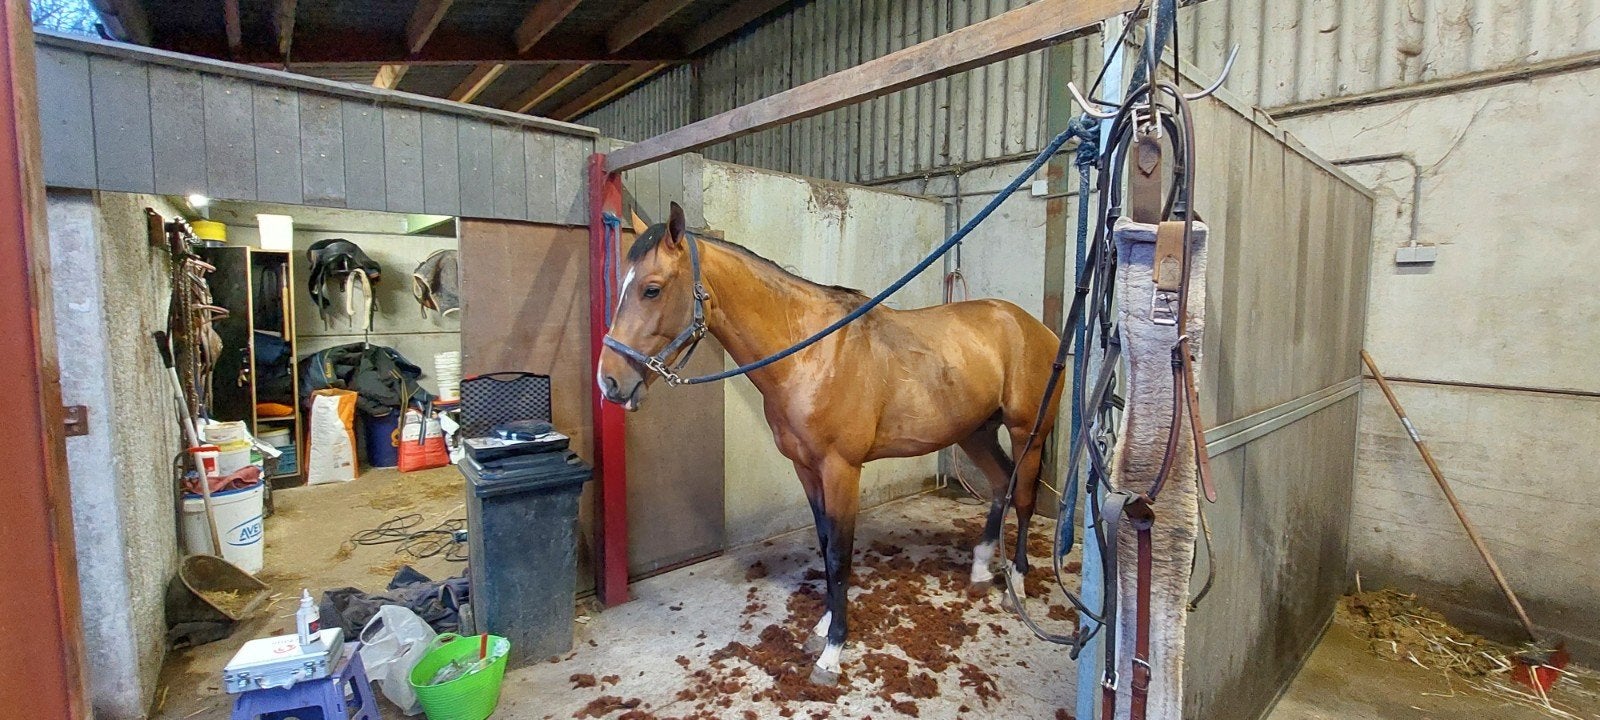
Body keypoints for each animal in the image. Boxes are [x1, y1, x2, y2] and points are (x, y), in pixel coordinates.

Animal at [597, 201, 1064, 684]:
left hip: (1027, 432)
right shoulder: (806, 468)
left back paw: (1017, 584)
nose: (609, 382)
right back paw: (981, 565)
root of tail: (1034, 327)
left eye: (651, 289)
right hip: (974, 432)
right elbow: (823, 544)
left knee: (1023, 496)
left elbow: (839, 554)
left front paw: (833, 650)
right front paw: (822, 626)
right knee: (1000, 482)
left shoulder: (842, 469)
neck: (810, 355)